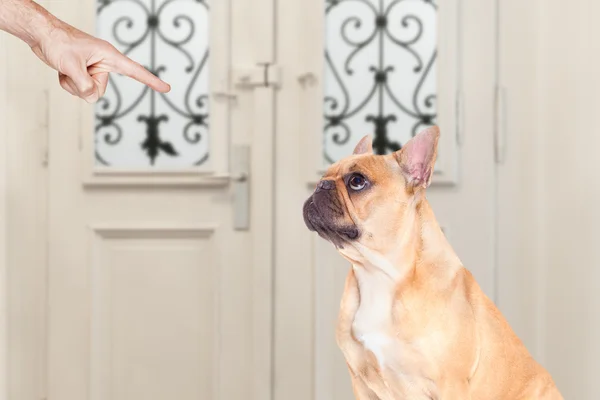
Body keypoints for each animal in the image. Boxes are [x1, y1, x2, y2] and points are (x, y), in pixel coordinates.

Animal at [304, 127, 564, 400]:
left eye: (357, 181)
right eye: (324, 174)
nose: (321, 184)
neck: (381, 275)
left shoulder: (449, 383)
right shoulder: (361, 383)